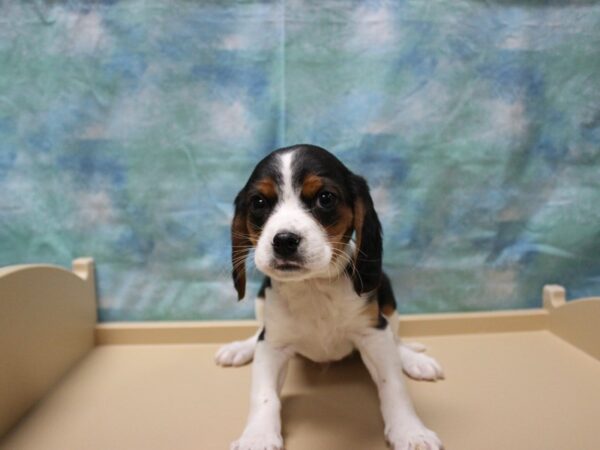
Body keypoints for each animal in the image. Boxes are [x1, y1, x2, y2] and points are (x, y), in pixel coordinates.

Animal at [216, 146, 446, 450]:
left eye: (325, 198)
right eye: (259, 202)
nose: (284, 240)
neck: (313, 286)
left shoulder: (374, 332)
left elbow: (394, 385)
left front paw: (410, 431)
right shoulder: (273, 344)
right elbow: (264, 395)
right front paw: (258, 436)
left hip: (387, 294)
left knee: (395, 337)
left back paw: (412, 359)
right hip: (261, 300)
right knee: (258, 332)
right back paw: (241, 347)